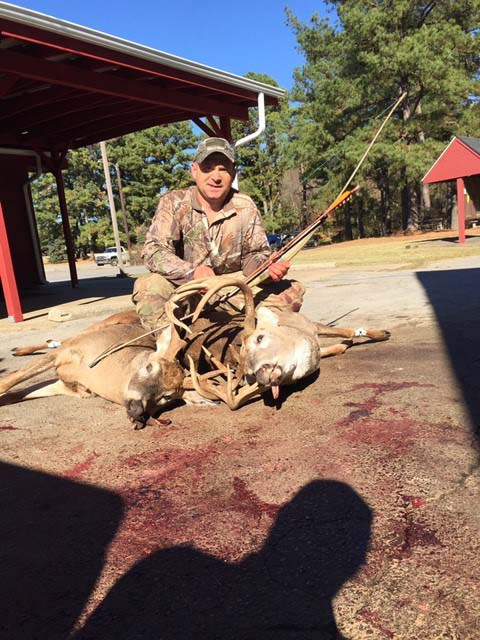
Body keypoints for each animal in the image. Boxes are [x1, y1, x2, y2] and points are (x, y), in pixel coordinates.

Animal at [0, 277, 390, 427]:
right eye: (255, 341)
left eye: (166, 400)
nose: (261, 374)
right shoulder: (70, 355)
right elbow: (10, 383)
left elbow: (340, 335)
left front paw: (369, 334)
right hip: (96, 327)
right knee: (55, 340)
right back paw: (19, 346)